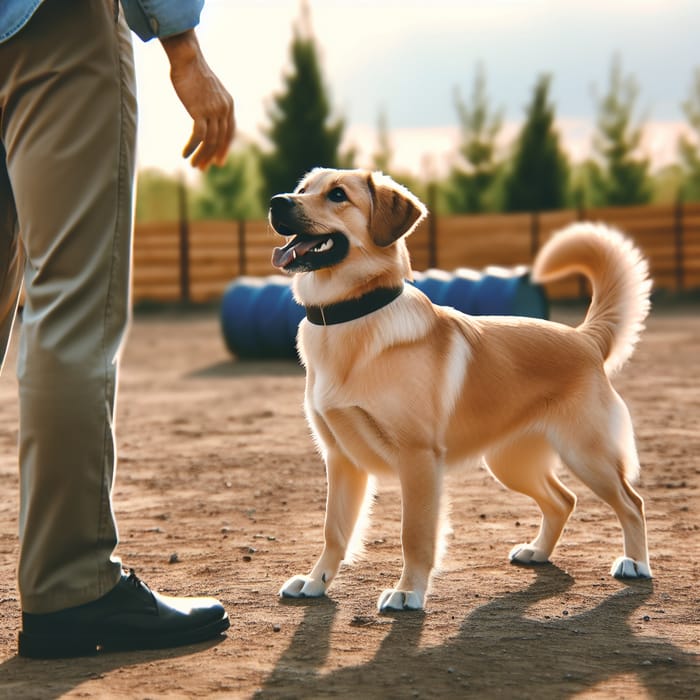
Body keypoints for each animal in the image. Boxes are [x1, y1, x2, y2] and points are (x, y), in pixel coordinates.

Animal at [266, 167, 652, 608]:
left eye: (337, 195)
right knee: (563, 500)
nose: (276, 202)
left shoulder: (418, 459)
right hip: (511, 462)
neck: (352, 318)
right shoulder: (340, 458)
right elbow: (334, 531)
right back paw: (538, 551)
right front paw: (316, 582)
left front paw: (408, 592)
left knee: (631, 502)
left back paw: (635, 563)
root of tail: (585, 338)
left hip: (587, 454)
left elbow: (414, 535)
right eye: (302, 190)